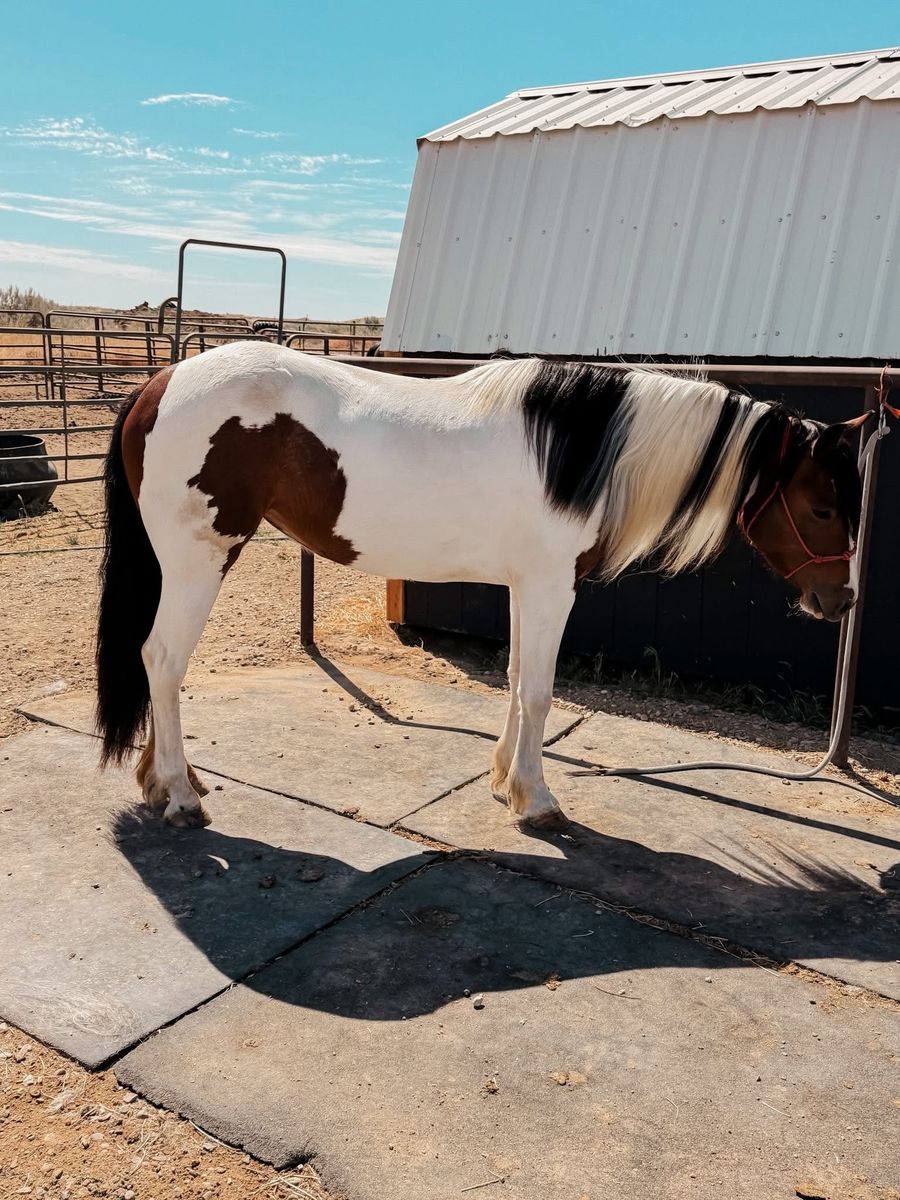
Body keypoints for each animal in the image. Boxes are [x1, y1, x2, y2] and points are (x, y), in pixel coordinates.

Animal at [95, 344, 867, 830]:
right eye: (823, 508)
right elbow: (540, 691)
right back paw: (181, 799)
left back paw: (168, 780)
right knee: (162, 660)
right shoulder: (553, 587)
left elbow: (519, 681)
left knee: (156, 664)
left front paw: (505, 781)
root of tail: (160, 382)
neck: (579, 452)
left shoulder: (527, 586)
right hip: (199, 563)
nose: (844, 600)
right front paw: (540, 802)